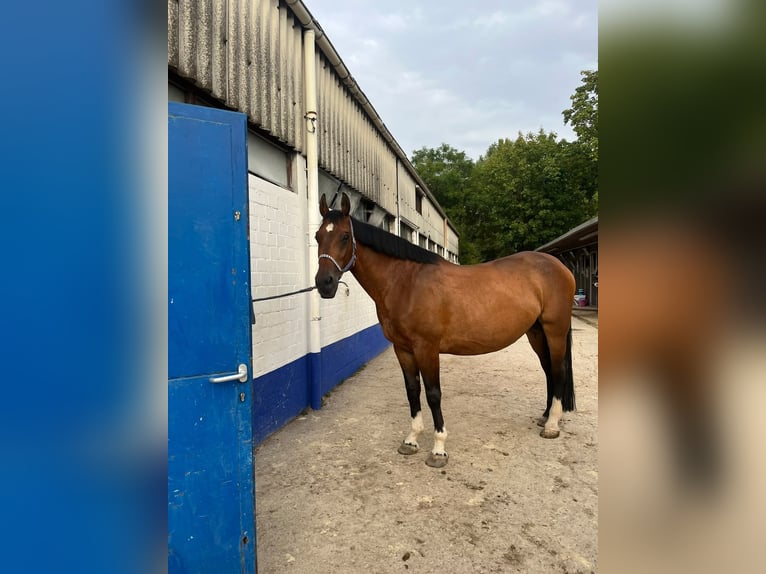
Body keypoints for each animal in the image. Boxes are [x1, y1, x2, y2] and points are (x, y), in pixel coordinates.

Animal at [315, 193, 576, 467]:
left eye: (345, 236)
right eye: (318, 236)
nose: (324, 283)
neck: (405, 283)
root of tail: (560, 267)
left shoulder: (426, 348)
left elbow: (433, 394)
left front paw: (438, 448)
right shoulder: (403, 349)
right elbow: (412, 390)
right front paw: (411, 440)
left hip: (555, 331)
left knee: (558, 370)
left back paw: (552, 426)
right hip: (536, 332)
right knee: (548, 370)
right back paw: (545, 416)